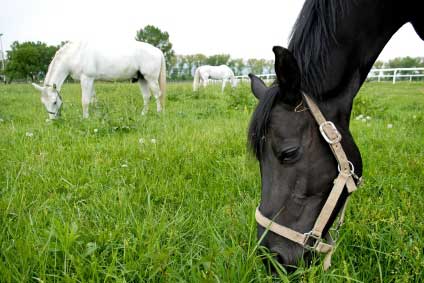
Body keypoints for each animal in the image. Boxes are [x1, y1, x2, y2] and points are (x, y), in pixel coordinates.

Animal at [31, 40, 166, 119]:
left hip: (151, 78)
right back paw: (143, 115)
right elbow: (93, 100)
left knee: (157, 95)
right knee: (147, 97)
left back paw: (159, 113)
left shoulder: (86, 79)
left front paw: (85, 118)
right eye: (44, 103)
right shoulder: (90, 80)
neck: (75, 54)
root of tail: (158, 51)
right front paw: (96, 115)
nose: (53, 120)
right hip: (142, 79)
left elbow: (85, 101)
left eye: (54, 102)